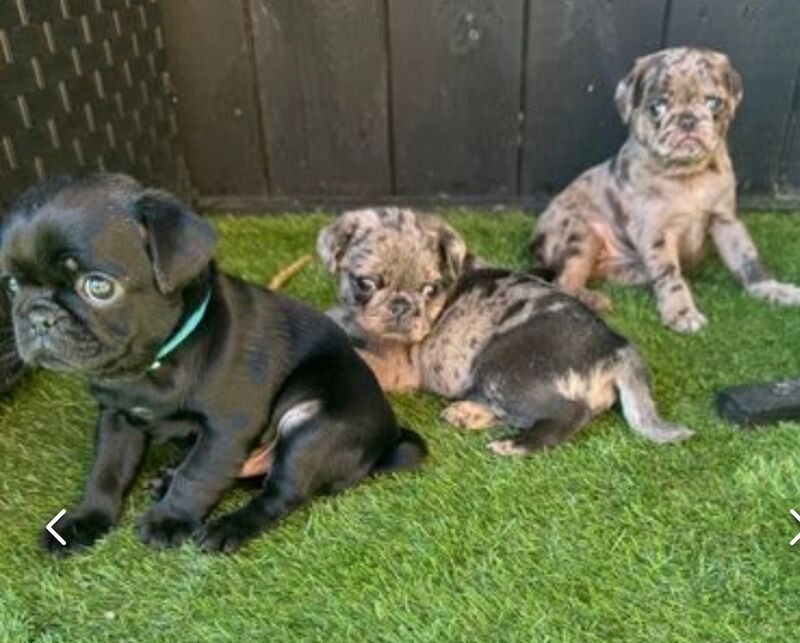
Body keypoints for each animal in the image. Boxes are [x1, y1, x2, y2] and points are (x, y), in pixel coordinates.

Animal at [0, 175, 424, 552]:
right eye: (12, 286)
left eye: (98, 286)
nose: (38, 317)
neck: (152, 365)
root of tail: (386, 442)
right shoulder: (116, 416)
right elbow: (106, 471)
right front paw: (86, 520)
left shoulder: (227, 427)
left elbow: (199, 474)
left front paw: (170, 521)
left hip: (313, 423)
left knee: (278, 492)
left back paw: (227, 527)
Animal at [316, 209, 692, 456]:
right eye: (365, 283)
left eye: (430, 290)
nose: (401, 306)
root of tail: (617, 351)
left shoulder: (398, 366)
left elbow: (366, 358)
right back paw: (469, 412)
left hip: (502, 368)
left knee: (567, 413)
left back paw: (515, 444)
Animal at [532, 47, 800, 334]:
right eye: (657, 107)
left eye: (714, 103)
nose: (688, 120)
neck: (688, 174)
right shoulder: (657, 233)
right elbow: (670, 275)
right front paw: (681, 313)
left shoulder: (725, 221)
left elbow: (747, 260)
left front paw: (772, 289)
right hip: (582, 235)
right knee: (564, 282)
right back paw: (591, 300)